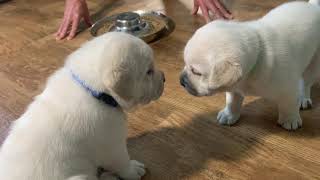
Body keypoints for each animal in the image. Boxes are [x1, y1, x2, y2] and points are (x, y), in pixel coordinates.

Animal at [0, 32, 165, 180]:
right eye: (148, 72)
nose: (164, 78)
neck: (92, 91)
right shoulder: (112, 146)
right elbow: (122, 163)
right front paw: (133, 170)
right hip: (79, 178)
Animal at [180, 0, 320, 130]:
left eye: (196, 72)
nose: (181, 80)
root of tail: (313, 7)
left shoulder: (288, 88)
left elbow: (289, 104)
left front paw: (290, 120)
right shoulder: (234, 87)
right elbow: (232, 102)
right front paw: (229, 114)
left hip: (314, 63)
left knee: (306, 83)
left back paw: (303, 98)